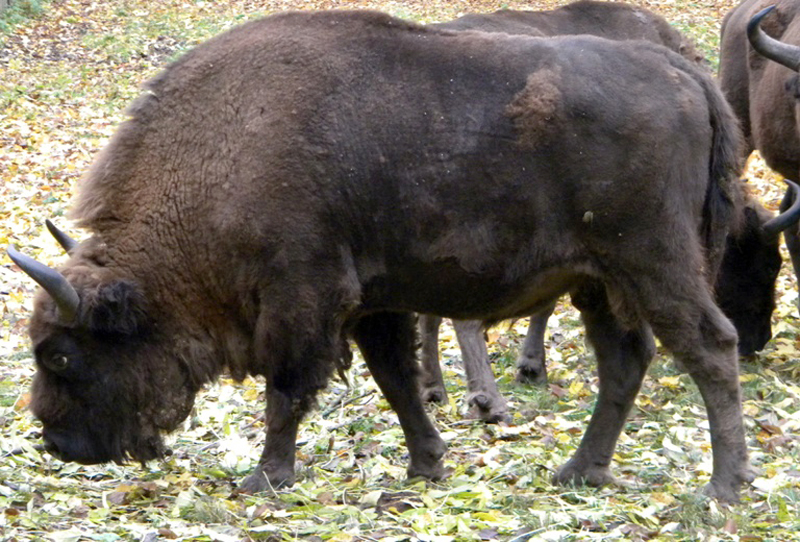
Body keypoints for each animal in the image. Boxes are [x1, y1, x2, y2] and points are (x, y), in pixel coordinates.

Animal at [8, 10, 754, 501]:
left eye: (61, 355)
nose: (56, 443)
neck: (225, 152)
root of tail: (680, 72)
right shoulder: (371, 303)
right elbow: (397, 380)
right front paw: (427, 465)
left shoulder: (302, 299)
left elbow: (287, 389)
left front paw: (263, 479)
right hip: (598, 282)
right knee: (624, 361)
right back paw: (579, 472)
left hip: (655, 263)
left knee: (711, 347)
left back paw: (723, 488)